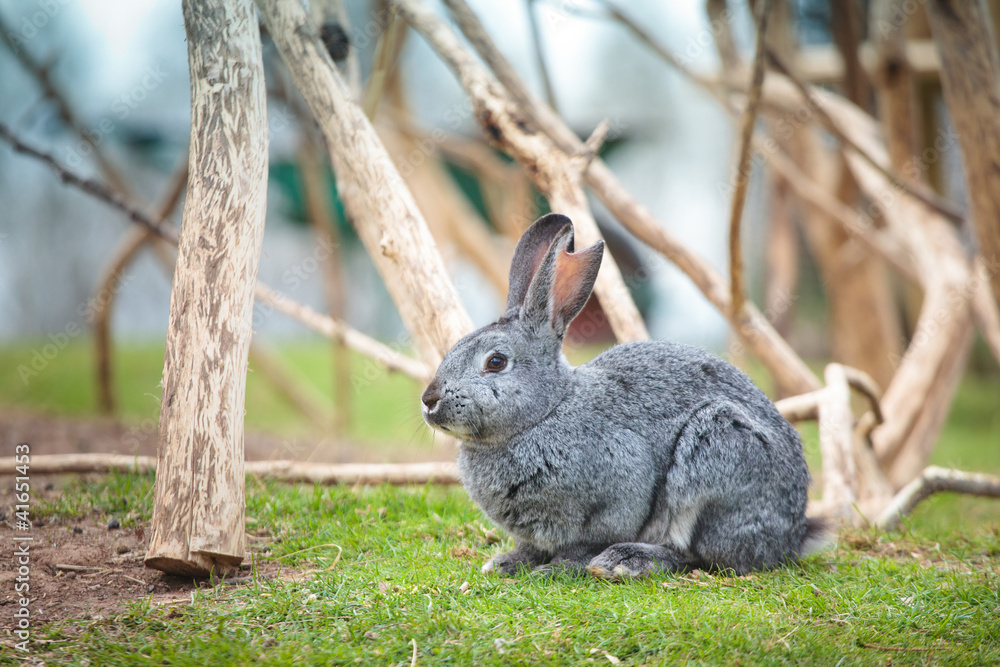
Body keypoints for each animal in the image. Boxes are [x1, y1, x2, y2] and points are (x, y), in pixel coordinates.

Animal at [421, 213, 824, 578]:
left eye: (496, 362)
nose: (429, 400)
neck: (547, 411)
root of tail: (791, 536)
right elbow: (530, 548)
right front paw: (506, 563)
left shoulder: (620, 490)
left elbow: (586, 543)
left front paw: (557, 568)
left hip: (717, 448)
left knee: (699, 554)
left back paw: (628, 560)